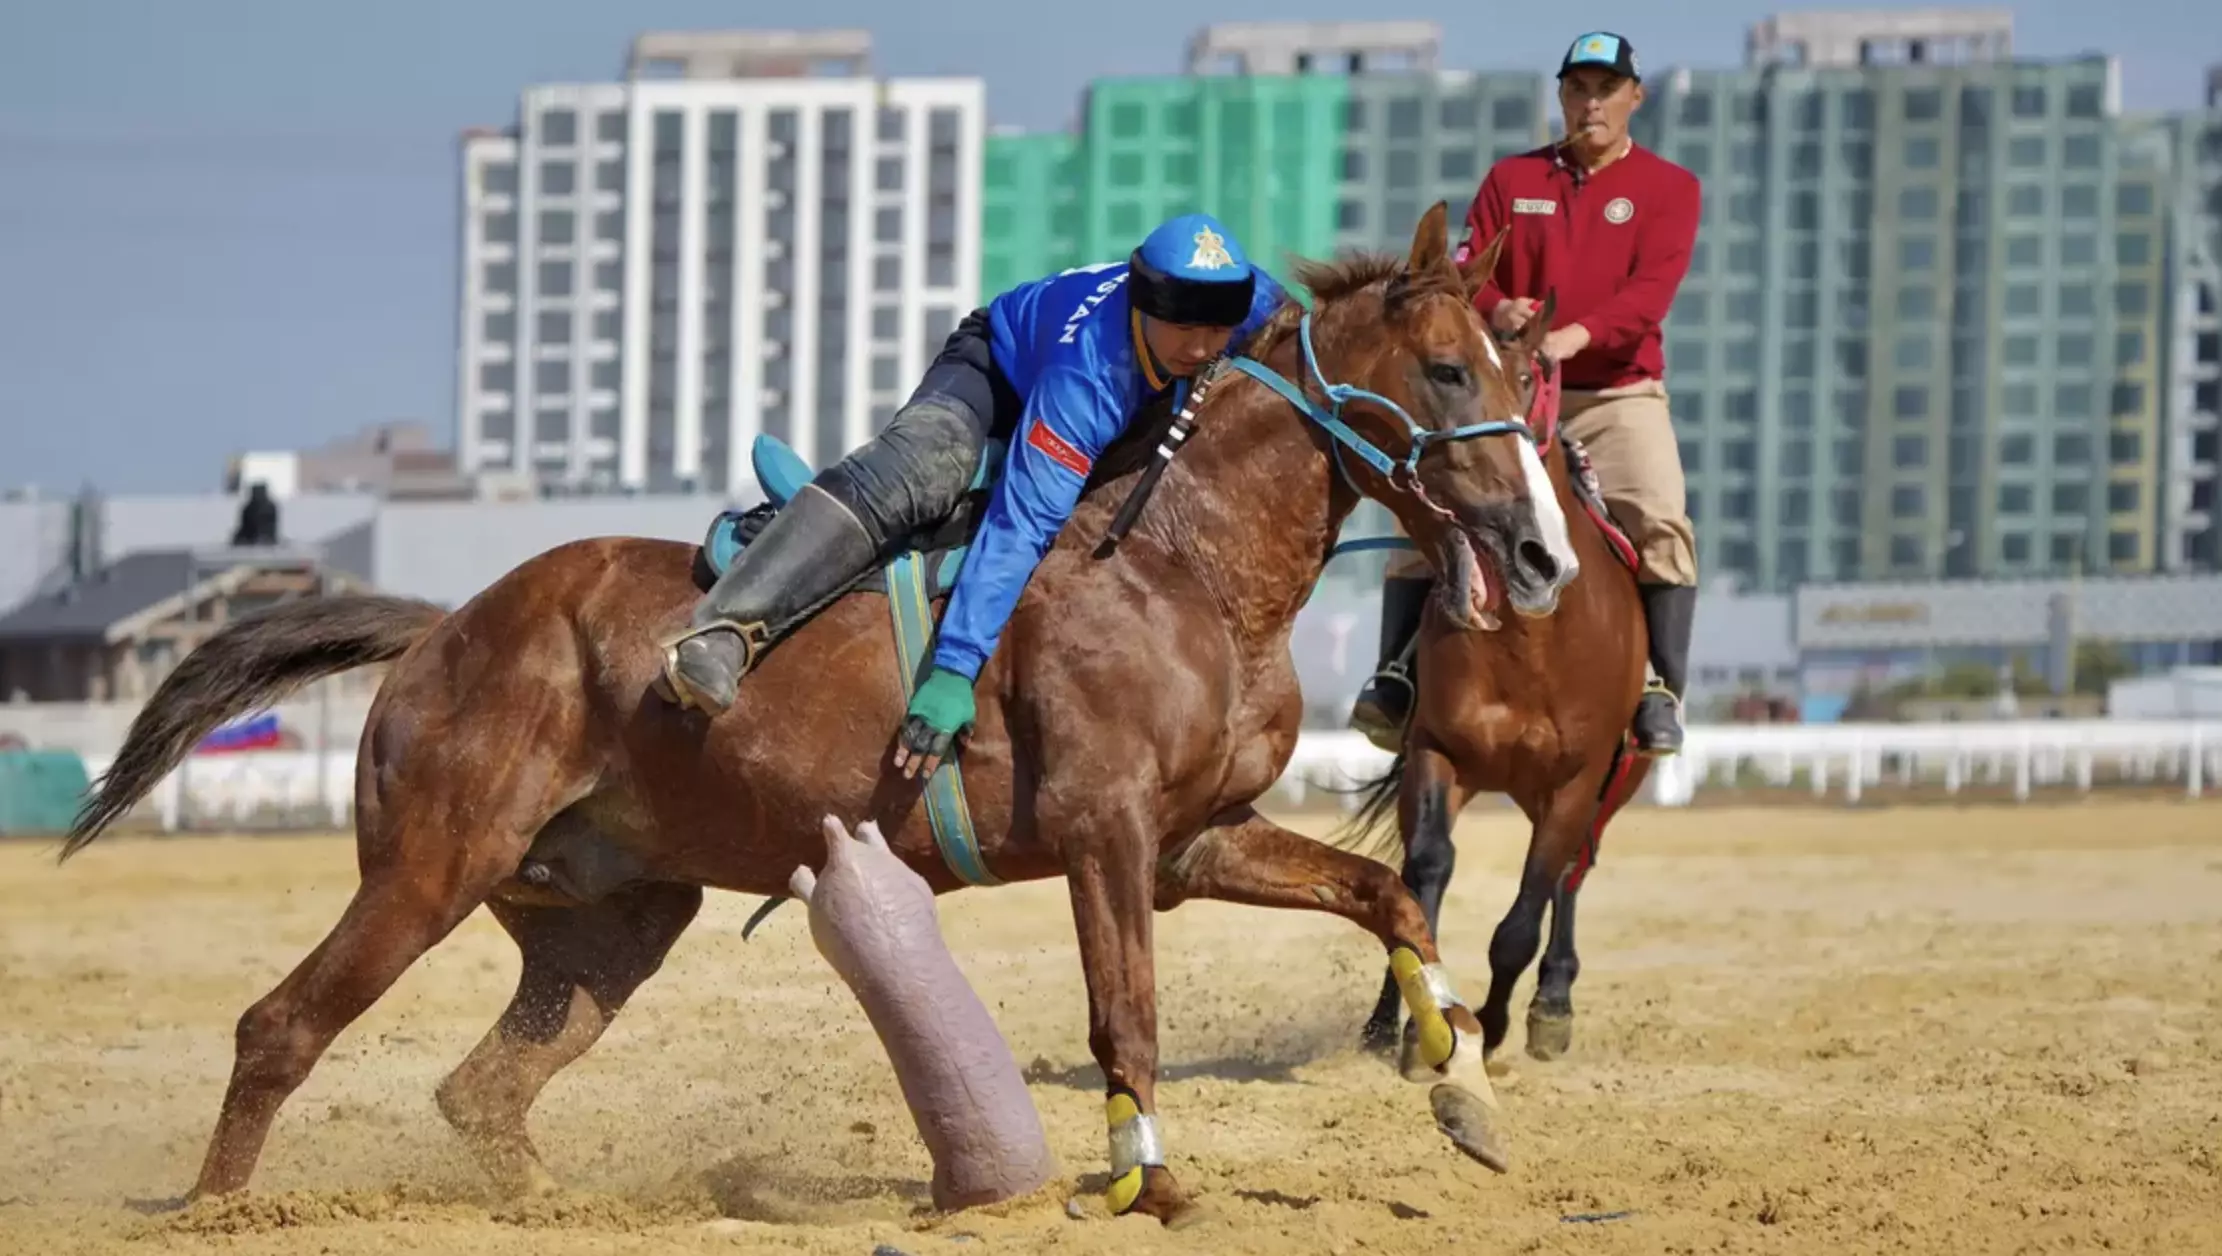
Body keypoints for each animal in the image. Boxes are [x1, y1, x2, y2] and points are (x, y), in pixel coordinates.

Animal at [56, 205, 1582, 1227]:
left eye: (1520, 375)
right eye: (1449, 373)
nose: (1543, 557)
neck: (1182, 563)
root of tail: (443, 627)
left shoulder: (1196, 838)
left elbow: (1387, 896)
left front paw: (1464, 1084)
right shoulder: (1107, 833)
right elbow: (1125, 1014)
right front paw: (1144, 1181)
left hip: (612, 918)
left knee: (481, 1089)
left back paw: (548, 1206)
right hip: (428, 866)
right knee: (279, 1028)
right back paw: (217, 1212)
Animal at [1315, 340, 1653, 1067]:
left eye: (1530, 376)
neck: (1530, 643)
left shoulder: (1576, 782)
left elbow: (1524, 916)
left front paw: (1493, 1026)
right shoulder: (1436, 753)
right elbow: (1421, 876)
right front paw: (1404, 1027)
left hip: (1607, 787)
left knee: (1570, 876)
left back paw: (1552, 1003)